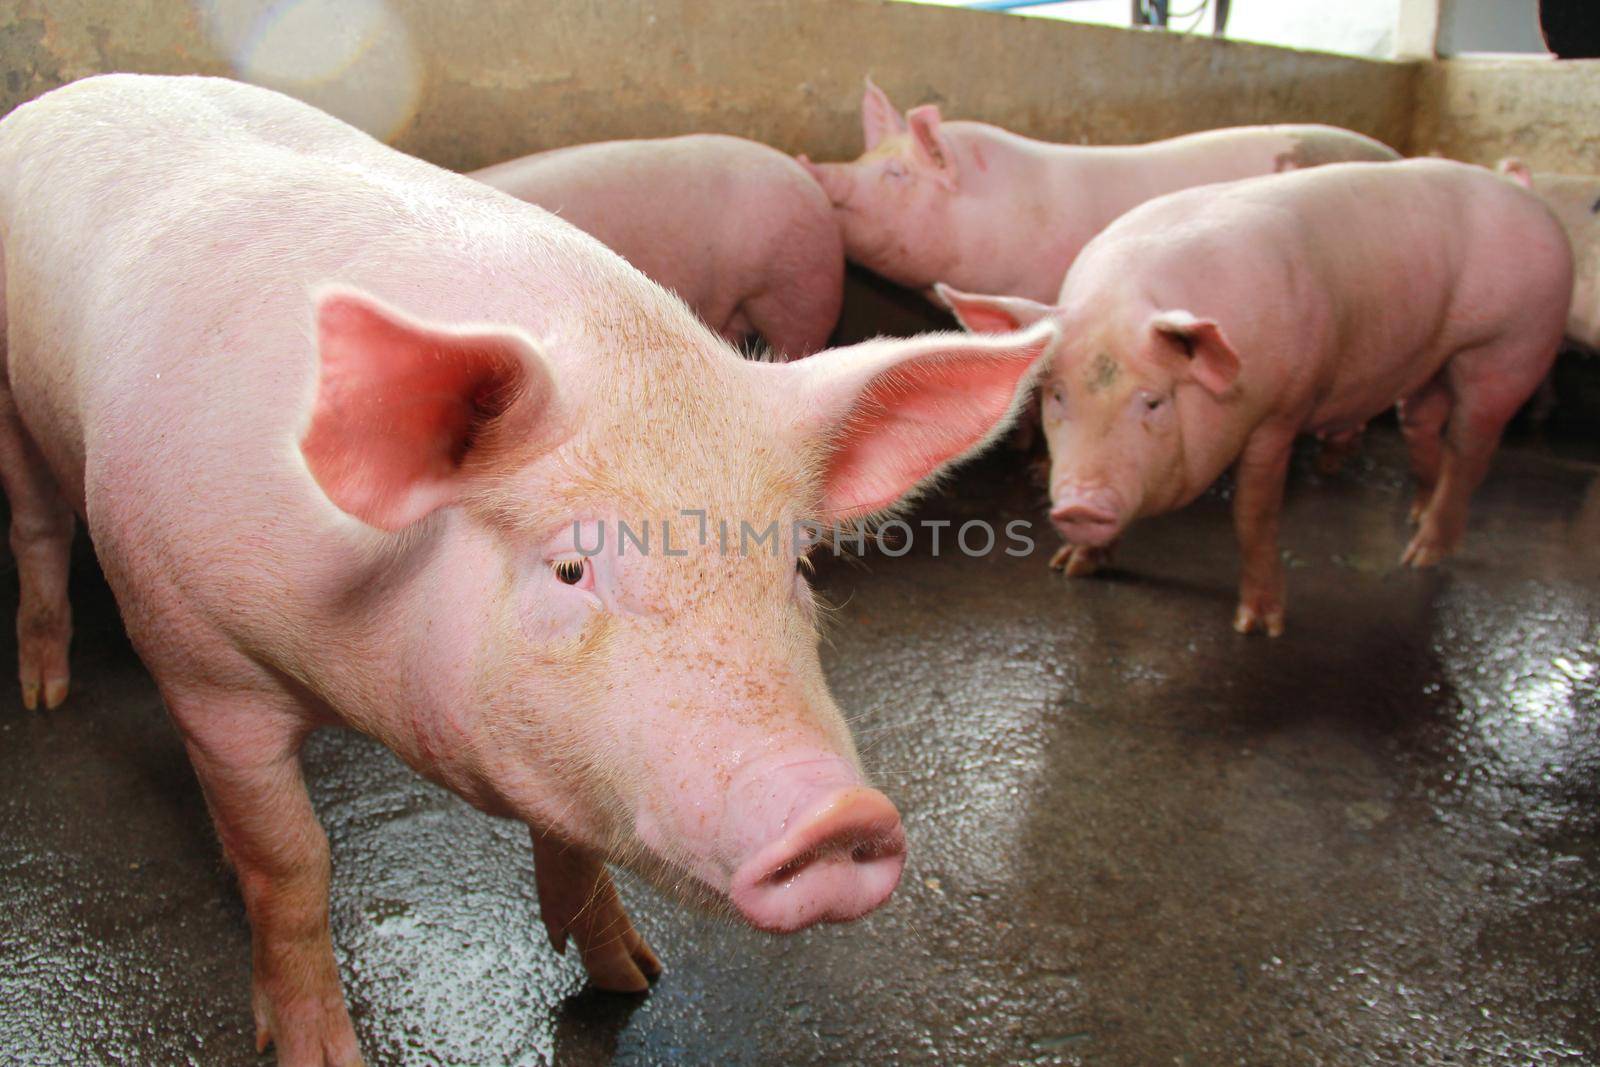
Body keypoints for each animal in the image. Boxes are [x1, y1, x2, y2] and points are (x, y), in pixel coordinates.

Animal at [934, 160, 1574, 633]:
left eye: (1154, 401)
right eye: (1057, 395)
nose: (1080, 506)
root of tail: (1531, 201)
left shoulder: (1281, 410)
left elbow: (1253, 512)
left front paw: (1260, 625)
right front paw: (1071, 568)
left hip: (1511, 346)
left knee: (1472, 446)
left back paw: (1421, 555)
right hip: (1432, 362)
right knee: (1422, 423)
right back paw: (1415, 516)